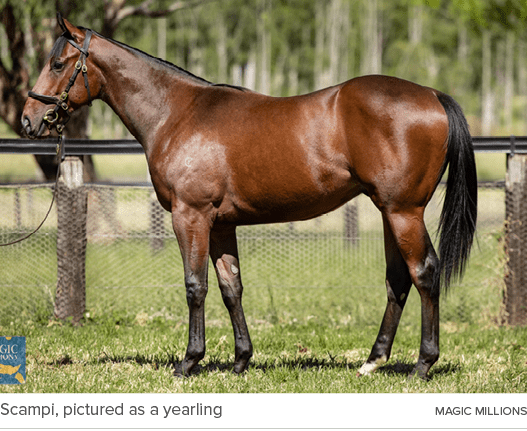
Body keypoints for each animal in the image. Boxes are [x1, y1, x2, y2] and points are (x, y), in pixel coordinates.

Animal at [21, 16, 478, 382]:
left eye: (57, 64)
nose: (28, 120)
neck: (176, 114)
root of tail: (432, 95)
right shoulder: (222, 224)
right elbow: (231, 288)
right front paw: (241, 360)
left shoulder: (191, 217)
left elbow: (195, 286)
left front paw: (189, 361)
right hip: (388, 211)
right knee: (398, 279)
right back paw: (372, 362)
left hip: (403, 213)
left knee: (424, 273)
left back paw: (423, 364)